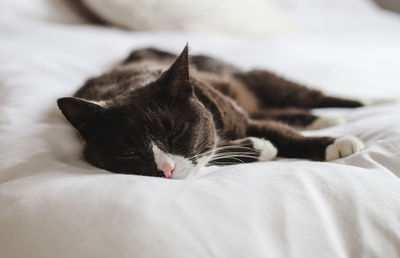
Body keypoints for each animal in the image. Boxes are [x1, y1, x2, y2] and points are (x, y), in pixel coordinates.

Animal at [57, 44, 364, 179]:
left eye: (176, 131)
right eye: (129, 153)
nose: (166, 170)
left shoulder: (239, 116)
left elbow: (280, 133)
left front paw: (335, 143)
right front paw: (259, 147)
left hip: (260, 80)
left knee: (310, 96)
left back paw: (360, 104)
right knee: (286, 111)